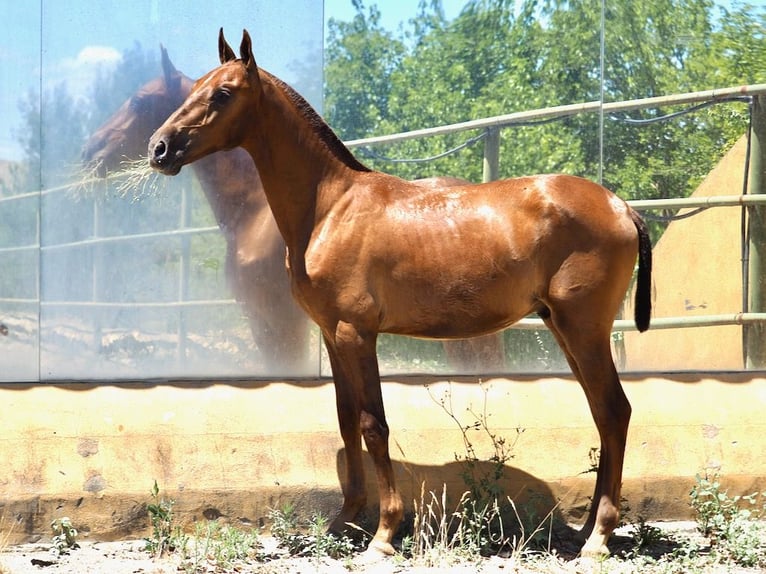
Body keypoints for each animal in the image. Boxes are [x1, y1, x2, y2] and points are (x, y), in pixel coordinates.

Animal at [150, 30, 656, 560]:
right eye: (194, 88)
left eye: (223, 94)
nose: (159, 148)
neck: (331, 208)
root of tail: (621, 207)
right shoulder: (332, 335)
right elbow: (346, 418)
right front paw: (344, 521)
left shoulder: (357, 333)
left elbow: (375, 425)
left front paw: (383, 534)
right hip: (565, 327)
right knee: (602, 414)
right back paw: (586, 530)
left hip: (584, 330)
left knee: (615, 411)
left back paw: (598, 538)